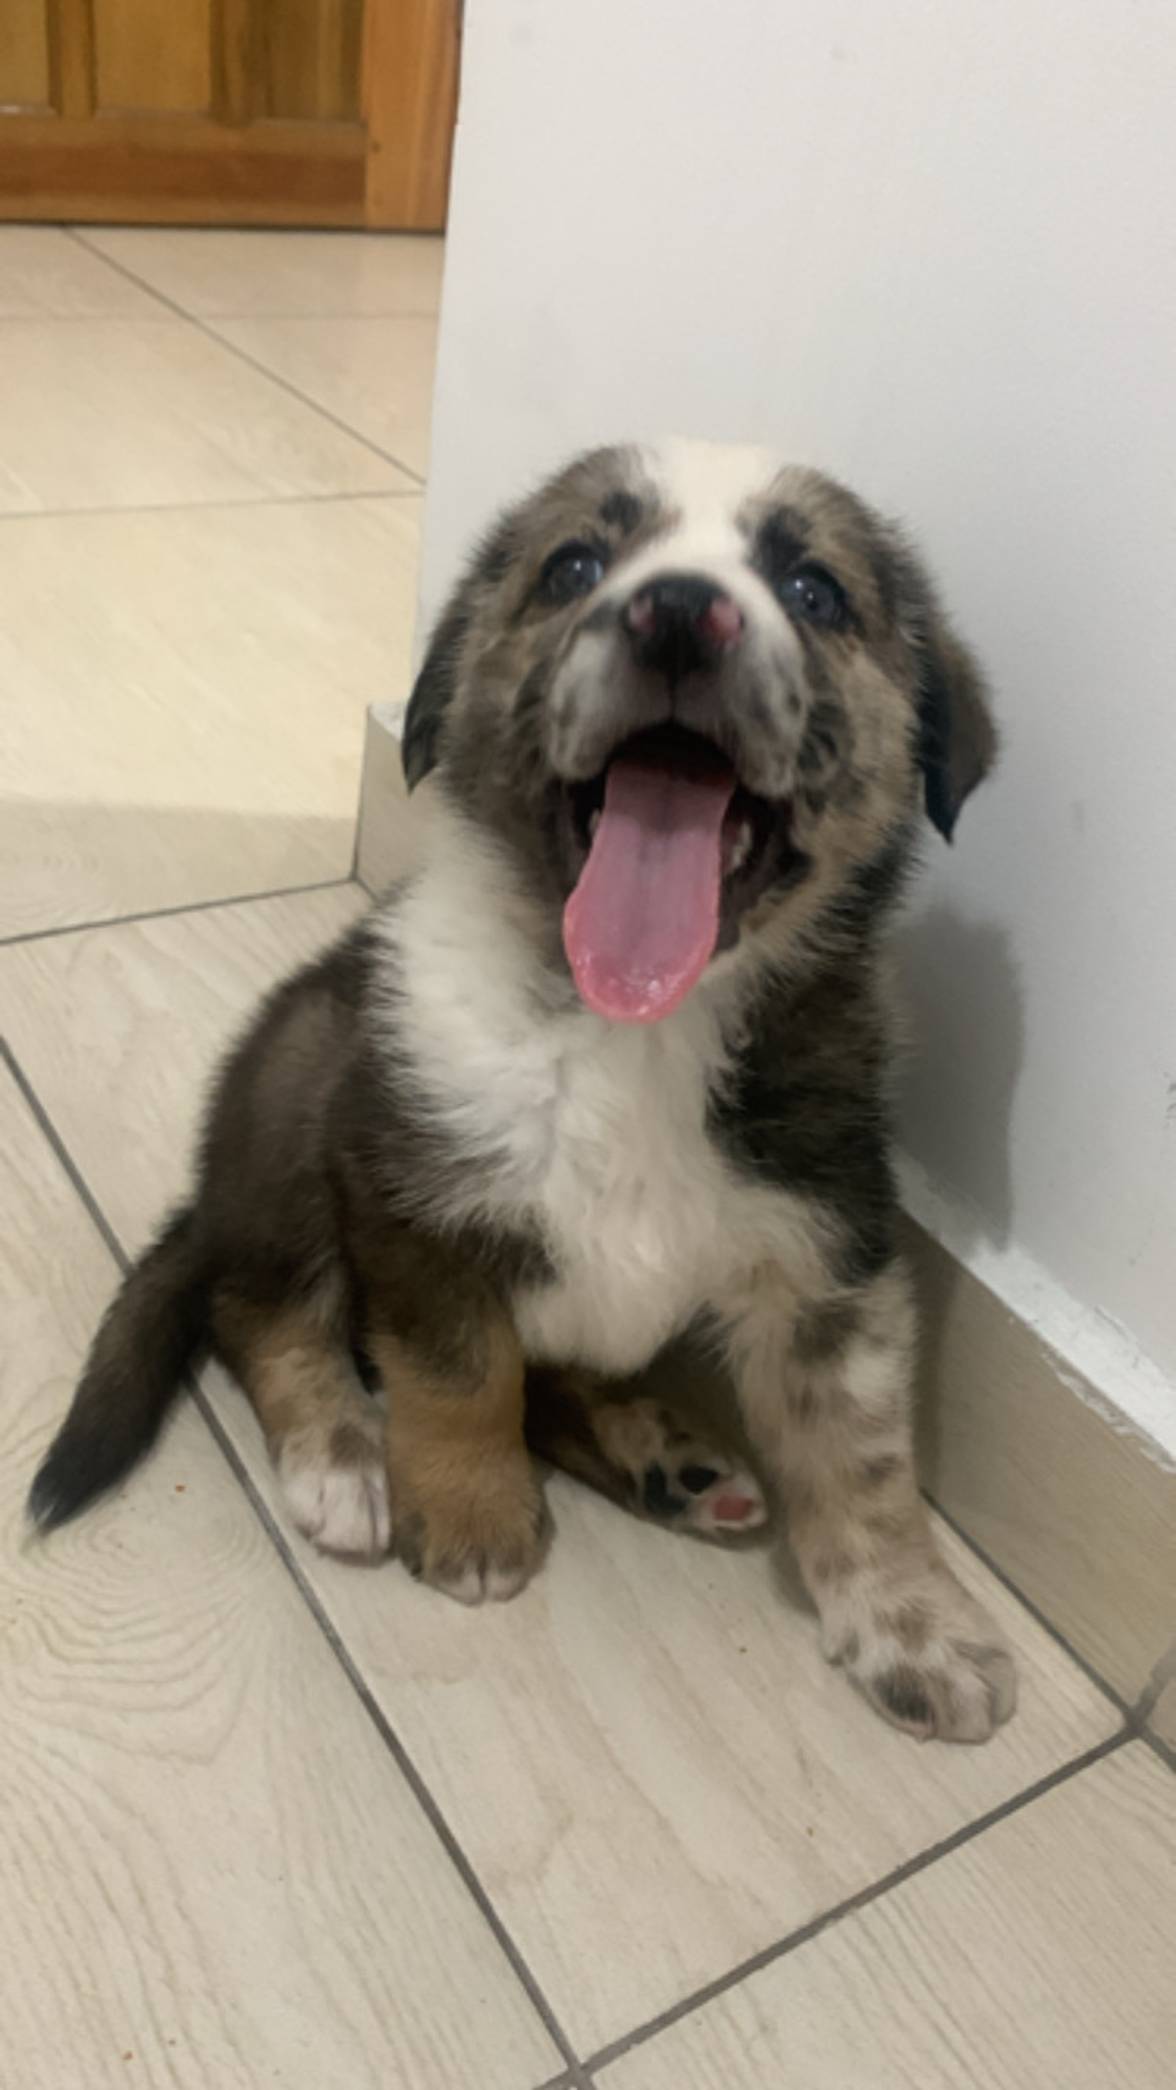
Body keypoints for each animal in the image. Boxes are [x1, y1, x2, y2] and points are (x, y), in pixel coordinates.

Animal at [29, 439, 1014, 1744]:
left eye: (813, 590)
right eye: (576, 567)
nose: (678, 611)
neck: (630, 1027)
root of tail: (207, 1193)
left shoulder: (830, 1249)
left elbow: (859, 1450)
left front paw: (915, 1621)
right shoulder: (415, 1199)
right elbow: (461, 1373)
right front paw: (471, 1512)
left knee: (556, 1372)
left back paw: (662, 1455)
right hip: (298, 1088)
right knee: (266, 1306)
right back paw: (343, 1456)